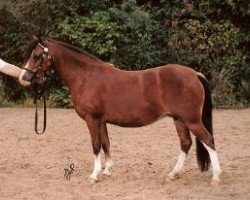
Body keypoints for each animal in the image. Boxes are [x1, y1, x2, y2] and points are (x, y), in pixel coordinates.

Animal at [19, 36, 221, 185]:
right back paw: (173, 174)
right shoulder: (101, 120)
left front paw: (94, 176)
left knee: (208, 140)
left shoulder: (92, 119)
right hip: (179, 119)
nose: (23, 78)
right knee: (185, 143)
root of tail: (194, 74)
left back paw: (216, 177)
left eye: (36, 56)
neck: (85, 76)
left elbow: (96, 145)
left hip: (191, 120)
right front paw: (107, 171)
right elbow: (106, 143)